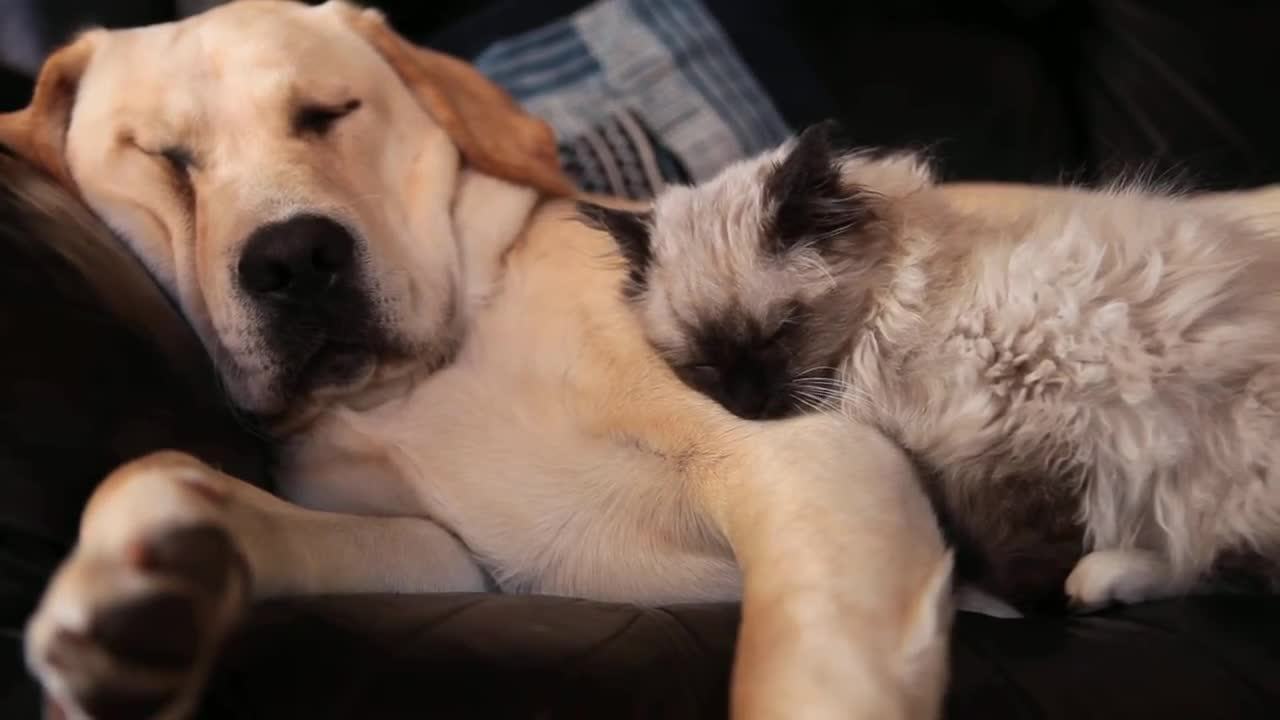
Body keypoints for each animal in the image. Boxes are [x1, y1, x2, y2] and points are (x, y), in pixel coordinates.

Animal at [0, 1, 957, 717]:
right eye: (164, 158)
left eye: (328, 112)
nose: (296, 259)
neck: (423, 384)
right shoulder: (452, 560)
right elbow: (171, 478)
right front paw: (138, 592)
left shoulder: (810, 454)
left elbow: (797, 672)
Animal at [581, 122, 1280, 609]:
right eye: (702, 362)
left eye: (780, 333)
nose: (748, 405)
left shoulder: (1015, 438)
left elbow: (1026, 546)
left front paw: (1027, 597)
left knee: (1220, 564)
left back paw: (1095, 581)